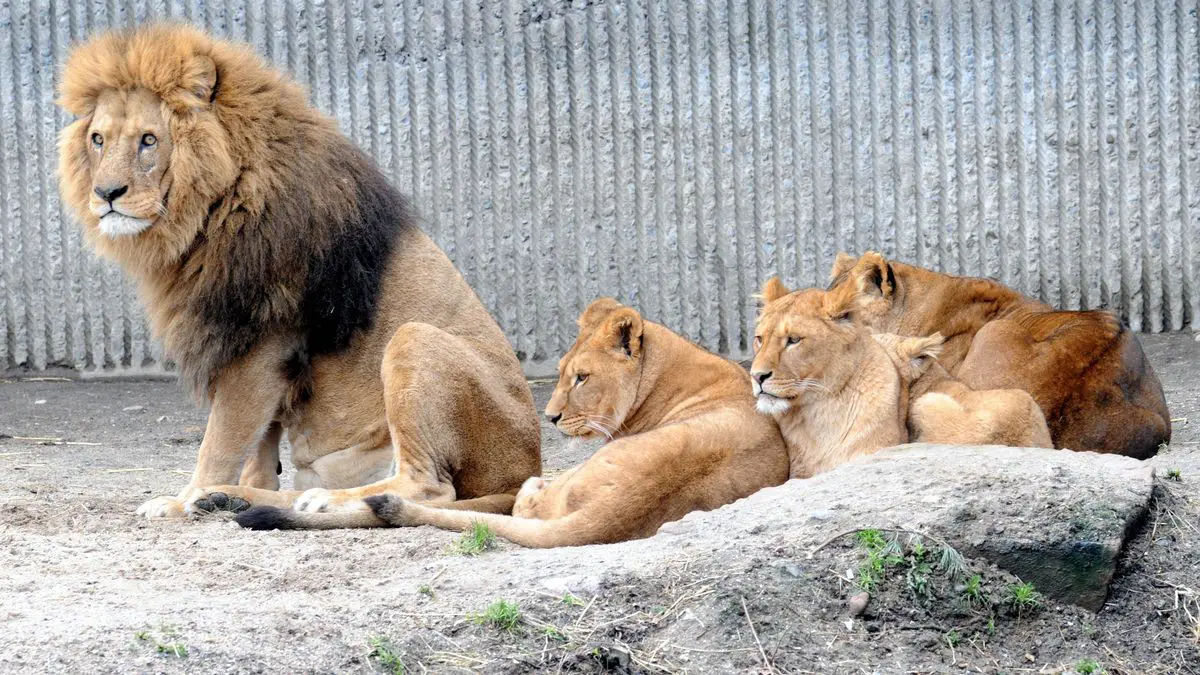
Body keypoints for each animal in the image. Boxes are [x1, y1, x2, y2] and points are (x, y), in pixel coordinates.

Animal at [57, 25, 540, 519]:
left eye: (149, 140)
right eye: (98, 139)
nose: (105, 193)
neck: (207, 214)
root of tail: (524, 469)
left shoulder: (260, 342)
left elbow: (221, 439)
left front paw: (184, 499)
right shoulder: (242, 345)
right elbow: (257, 445)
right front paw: (227, 490)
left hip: (413, 339)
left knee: (429, 487)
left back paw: (318, 499)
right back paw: (238, 500)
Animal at [232, 299, 792, 547]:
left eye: (582, 378)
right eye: (563, 374)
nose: (551, 416)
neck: (669, 370)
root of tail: (616, 510)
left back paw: (316, 500)